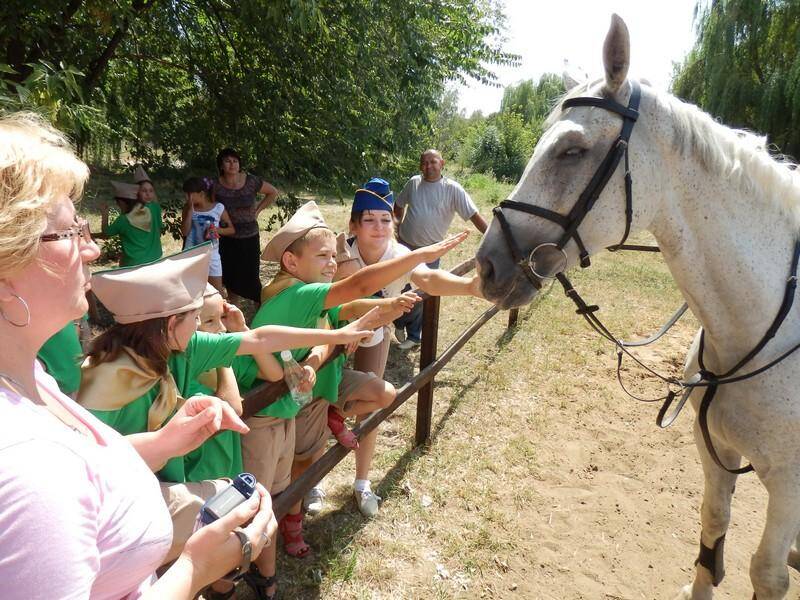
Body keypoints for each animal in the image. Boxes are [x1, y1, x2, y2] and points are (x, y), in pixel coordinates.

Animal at [478, 14, 800, 600]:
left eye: (571, 150)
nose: (487, 266)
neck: (763, 327)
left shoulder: (789, 484)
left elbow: (767, 573)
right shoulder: (715, 451)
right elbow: (712, 531)